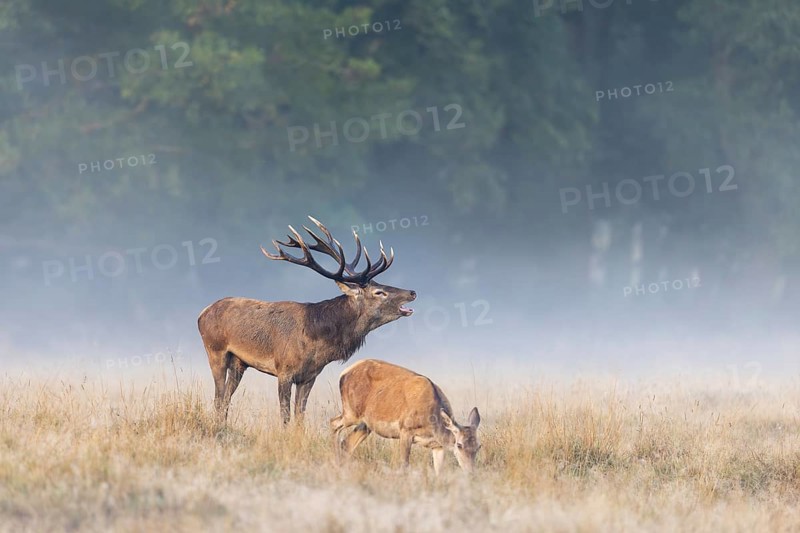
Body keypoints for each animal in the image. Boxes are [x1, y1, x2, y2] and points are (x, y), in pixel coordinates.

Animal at [198, 216, 417, 425]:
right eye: (379, 292)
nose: (412, 292)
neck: (316, 341)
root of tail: (202, 313)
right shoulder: (283, 371)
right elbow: (285, 416)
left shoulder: (309, 376)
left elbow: (300, 415)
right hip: (215, 350)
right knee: (218, 397)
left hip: (239, 362)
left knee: (226, 398)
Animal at [331, 359, 482, 475]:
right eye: (459, 445)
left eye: (478, 446)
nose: (471, 473)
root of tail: (343, 373)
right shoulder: (405, 430)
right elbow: (404, 466)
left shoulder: (437, 445)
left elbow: (439, 472)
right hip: (351, 412)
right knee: (333, 423)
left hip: (366, 424)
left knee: (347, 443)